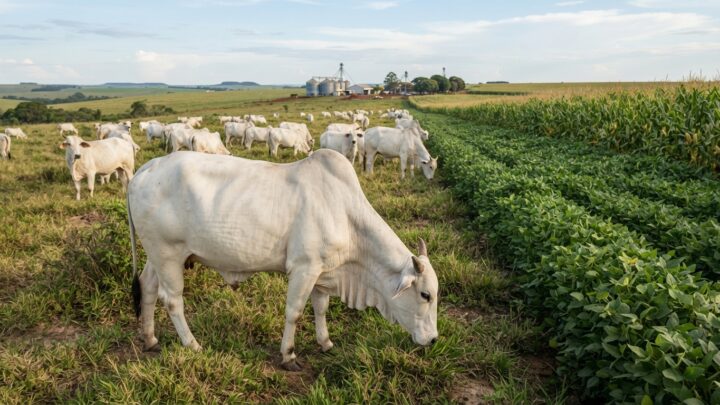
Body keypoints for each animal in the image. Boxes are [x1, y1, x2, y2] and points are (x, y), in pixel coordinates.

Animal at [127, 150, 439, 371]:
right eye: (425, 295)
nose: (434, 340)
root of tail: (143, 170)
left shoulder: (322, 273)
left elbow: (321, 308)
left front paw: (326, 342)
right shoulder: (304, 268)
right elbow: (295, 312)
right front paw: (288, 355)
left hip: (157, 256)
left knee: (148, 287)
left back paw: (150, 339)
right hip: (168, 254)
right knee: (172, 300)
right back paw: (192, 344)